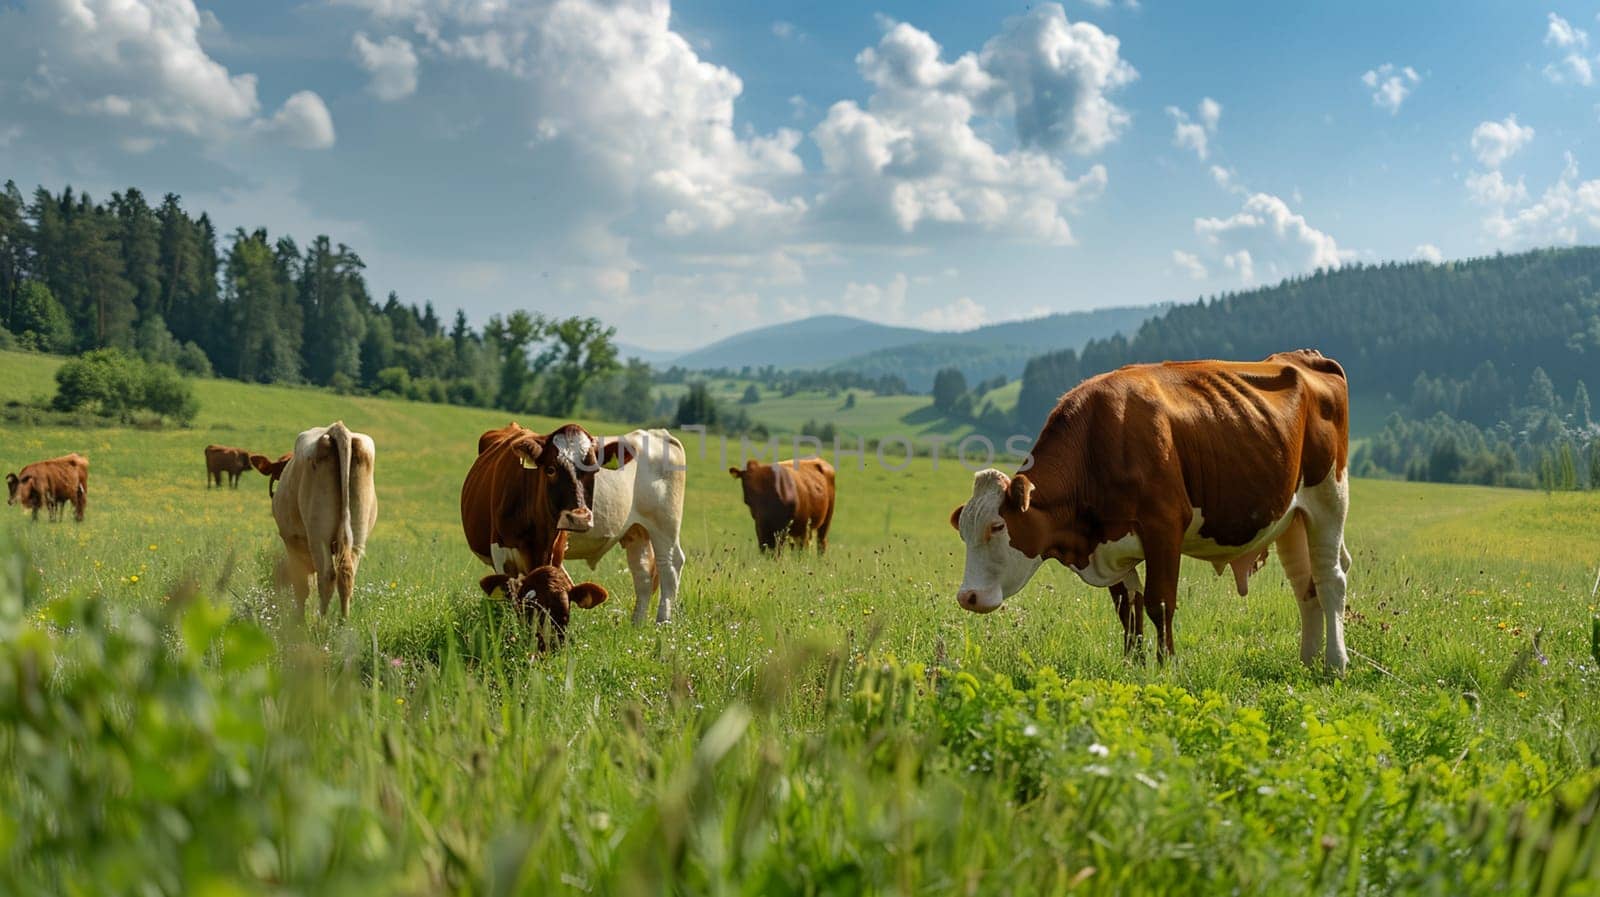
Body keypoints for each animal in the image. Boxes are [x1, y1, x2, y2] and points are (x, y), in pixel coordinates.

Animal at [272, 418, 380, 613]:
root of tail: (337, 428)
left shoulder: (292, 543)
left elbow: (301, 588)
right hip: (357, 537)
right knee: (346, 575)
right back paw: (343, 620)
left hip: (318, 535)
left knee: (327, 577)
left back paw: (321, 620)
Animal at [563, 425, 688, 623]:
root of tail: (656, 433)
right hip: (637, 530)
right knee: (643, 574)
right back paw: (637, 623)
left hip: (665, 525)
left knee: (670, 566)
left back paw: (663, 621)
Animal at [947, 350, 1350, 671]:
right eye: (963, 531)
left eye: (998, 526)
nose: (967, 597)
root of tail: (1301, 356)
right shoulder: (1110, 542)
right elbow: (1128, 607)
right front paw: (1133, 664)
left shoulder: (1164, 528)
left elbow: (1159, 602)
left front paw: (1166, 664)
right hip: (1292, 519)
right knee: (1305, 586)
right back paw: (1308, 660)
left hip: (1329, 499)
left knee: (1330, 579)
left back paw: (1335, 663)